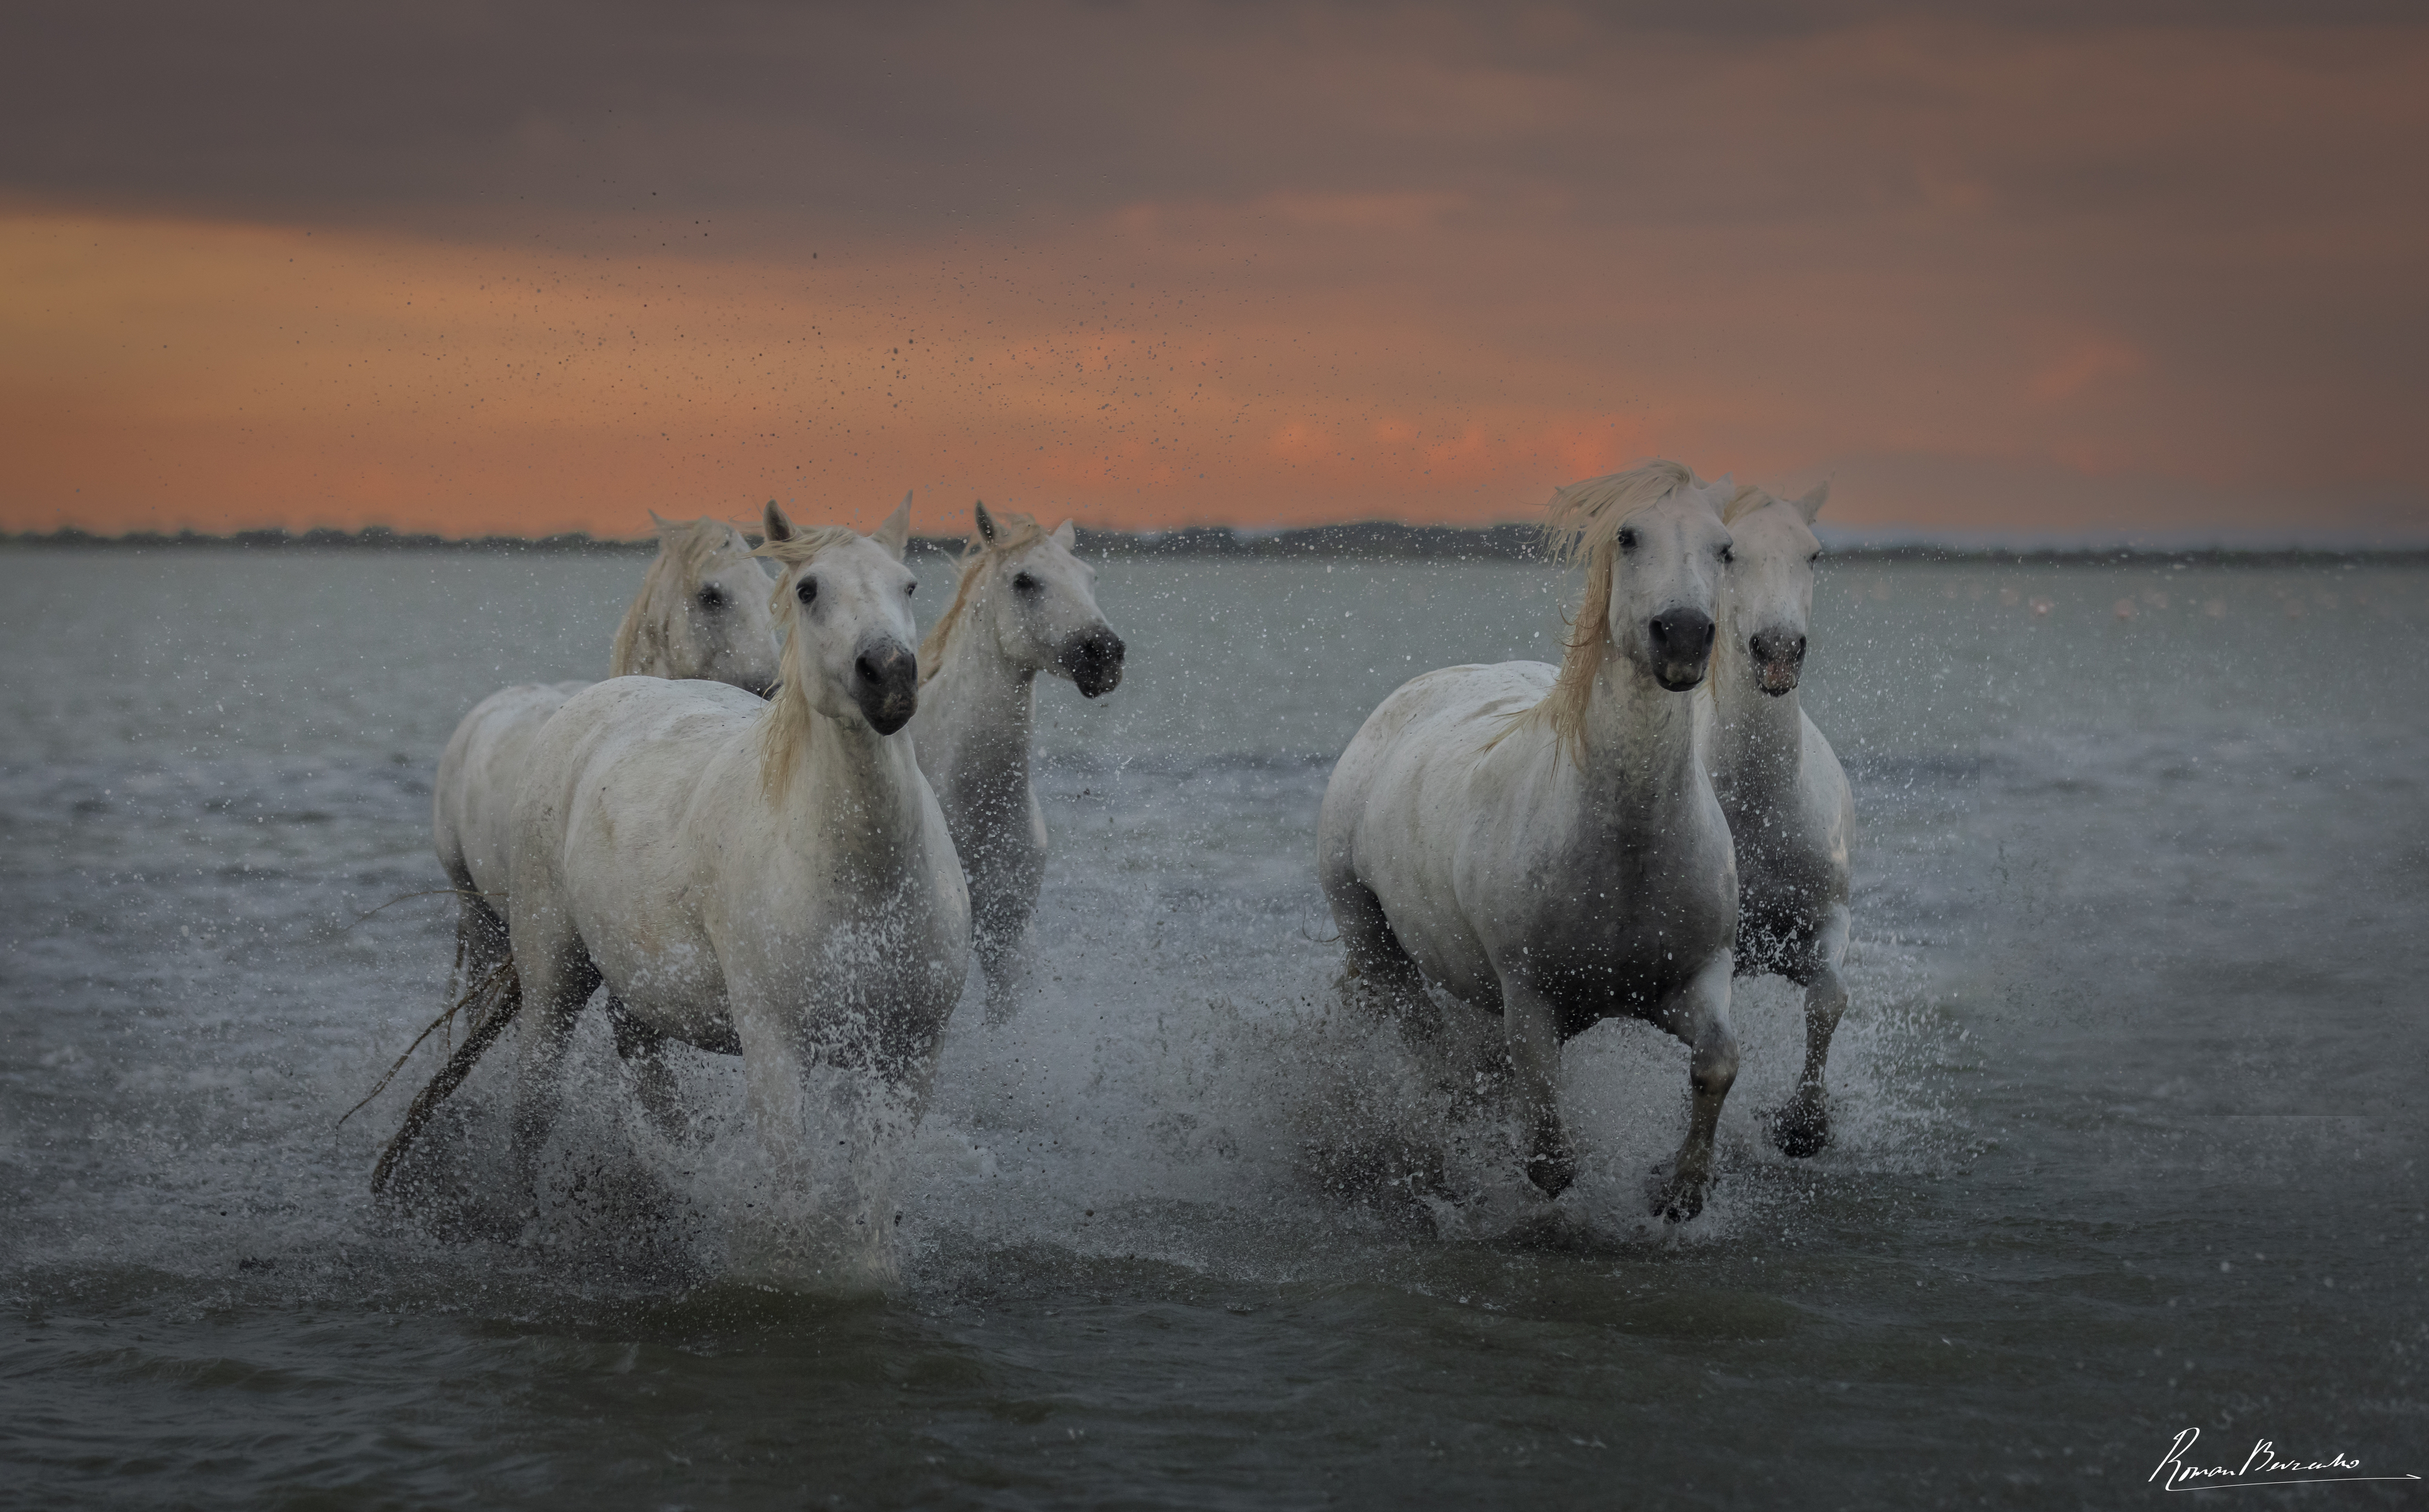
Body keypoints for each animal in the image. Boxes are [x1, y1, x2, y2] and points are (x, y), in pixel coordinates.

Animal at [502, 502, 967, 1281]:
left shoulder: (912, 1052)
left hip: (640, 997)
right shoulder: (775, 1048)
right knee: (532, 1110)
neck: (862, 882)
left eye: (908, 583)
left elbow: (872, 1199)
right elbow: (793, 1186)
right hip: (551, 980)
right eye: (808, 589)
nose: (890, 675)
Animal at [1321, 461, 1739, 1218]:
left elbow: (1717, 1062)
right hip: (1374, 945)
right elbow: (1550, 1155)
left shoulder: (1694, 975)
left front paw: (1679, 1191)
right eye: (1628, 536)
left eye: (1725, 549)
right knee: (1437, 1060)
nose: (1684, 636)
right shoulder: (1530, 999)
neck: (1623, 847)